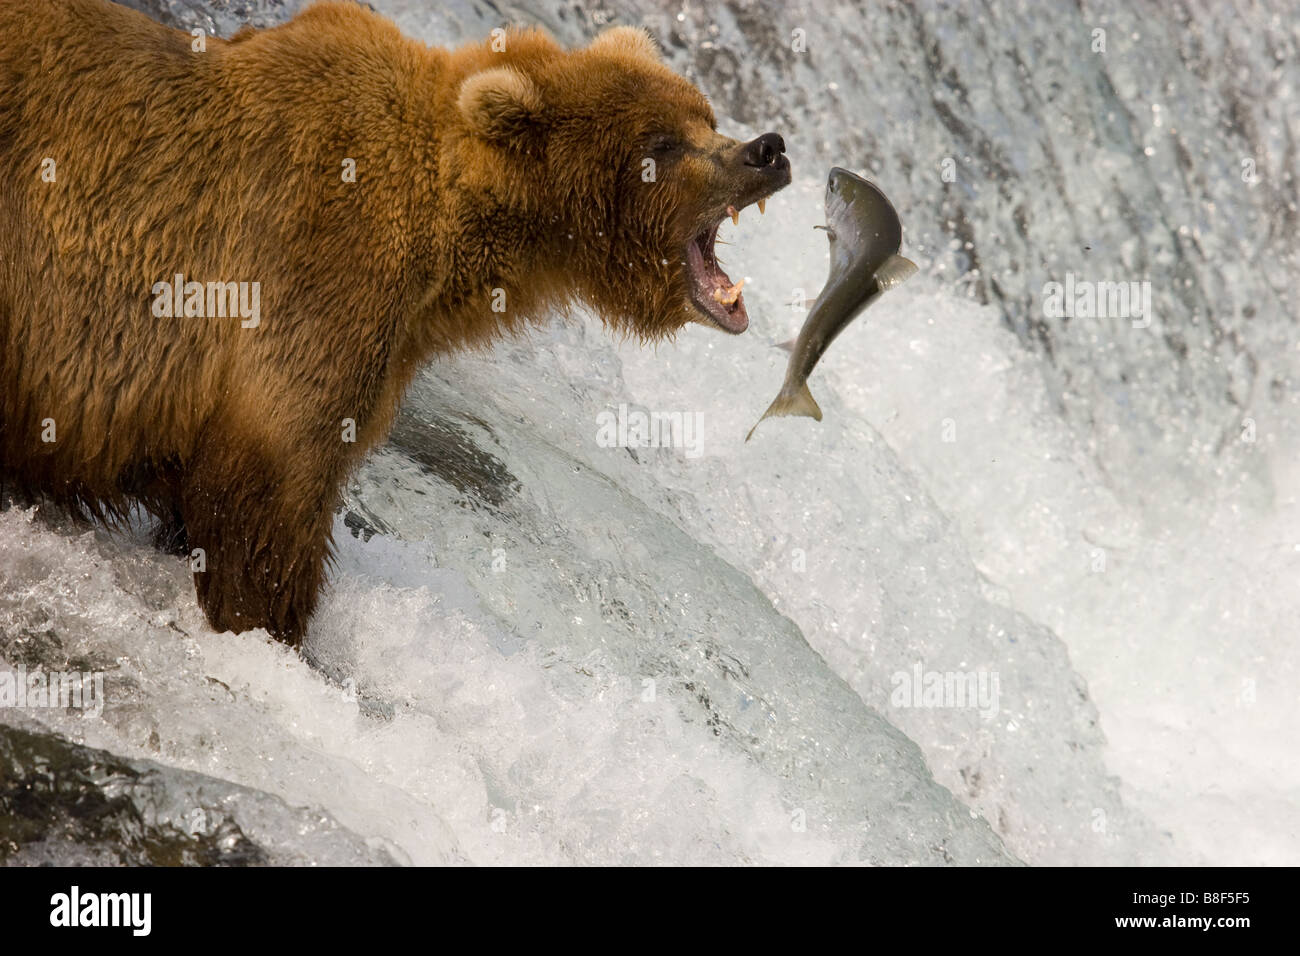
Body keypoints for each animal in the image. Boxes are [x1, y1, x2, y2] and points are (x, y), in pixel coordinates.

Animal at [0, 0, 791, 645]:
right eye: (661, 144)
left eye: (703, 114)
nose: (767, 149)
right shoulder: (318, 273)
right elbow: (269, 493)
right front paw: (271, 629)